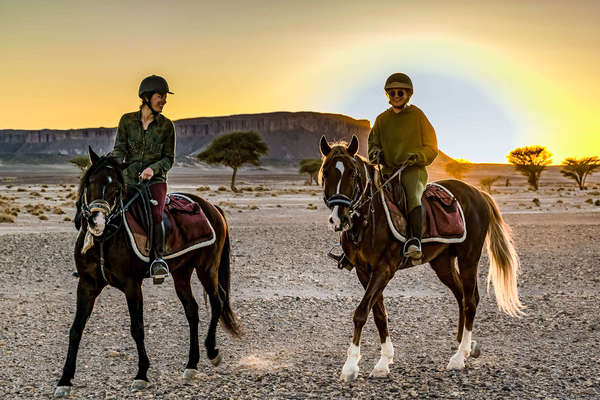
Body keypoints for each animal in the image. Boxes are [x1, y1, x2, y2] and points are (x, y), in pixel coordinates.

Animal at [52, 149, 239, 396]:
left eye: (116, 188)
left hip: (207, 268)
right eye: (90, 181)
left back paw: (212, 352)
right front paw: (64, 380)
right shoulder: (86, 284)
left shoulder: (132, 286)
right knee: (192, 311)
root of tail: (211, 207)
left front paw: (141, 374)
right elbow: (76, 329)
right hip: (181, 273)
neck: (105, 239)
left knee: (218, 301)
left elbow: (137, 328)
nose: (96, 221)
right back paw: (191, 365)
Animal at [318, 136, 524, 380]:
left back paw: (459, 356)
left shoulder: (384, 269)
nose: (337, 218)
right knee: (461, 296)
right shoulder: (363, 271)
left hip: (468, 257)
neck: (369, 220)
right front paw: (384, 361)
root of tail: (478, 193)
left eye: (353, 174)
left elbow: (361, 312)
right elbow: (379, 313)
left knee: (470, 301)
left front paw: (350, 366)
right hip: (442, 262)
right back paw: (466, 347)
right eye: (326, 172)